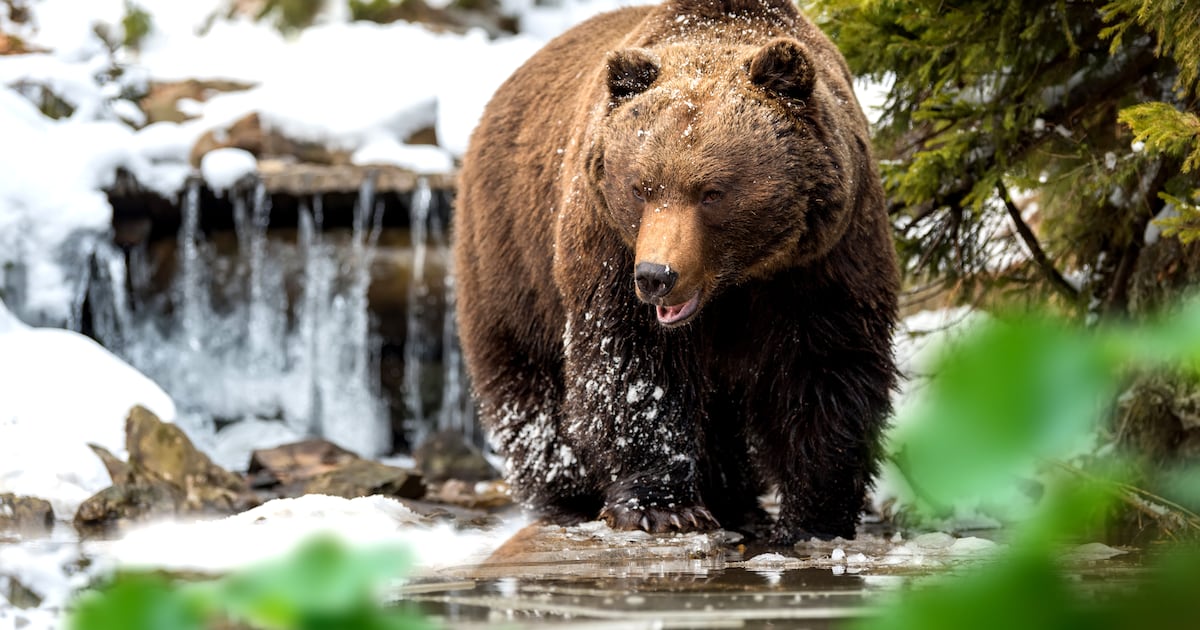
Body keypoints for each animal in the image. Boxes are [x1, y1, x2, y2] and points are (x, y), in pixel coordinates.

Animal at [453, 0, 898, 543]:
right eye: (640, 187)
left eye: (712, 192)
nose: (656, 276)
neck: (736, 280)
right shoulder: (609, 246)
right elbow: (633, 367)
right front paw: (662, 507)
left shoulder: (823, 257)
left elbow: (825, 366)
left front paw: (813, 518)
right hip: (512, 253)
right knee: (529, 380)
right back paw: (568, 496)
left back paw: (734, 499)